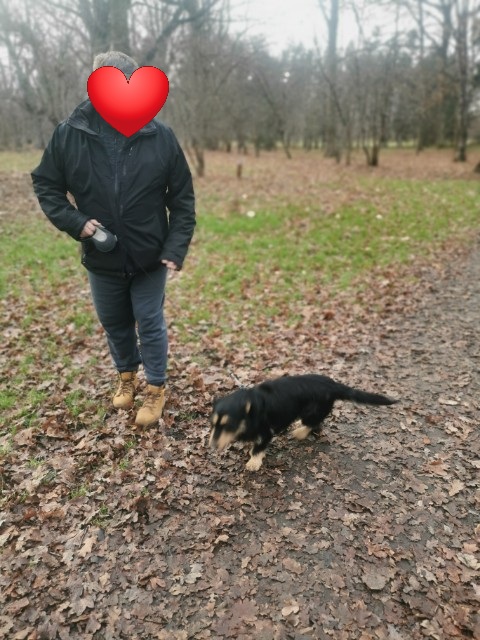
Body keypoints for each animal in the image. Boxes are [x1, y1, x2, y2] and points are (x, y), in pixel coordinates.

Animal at [209, 374, 397, 471]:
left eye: (228, 425)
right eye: (213, 424)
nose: (212, 445)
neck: (251, 409)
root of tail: (333, 385)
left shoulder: (266, 432)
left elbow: (258, 448)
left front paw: (253, 463)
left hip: (312, 411)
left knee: (314, 423)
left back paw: (299, 432)